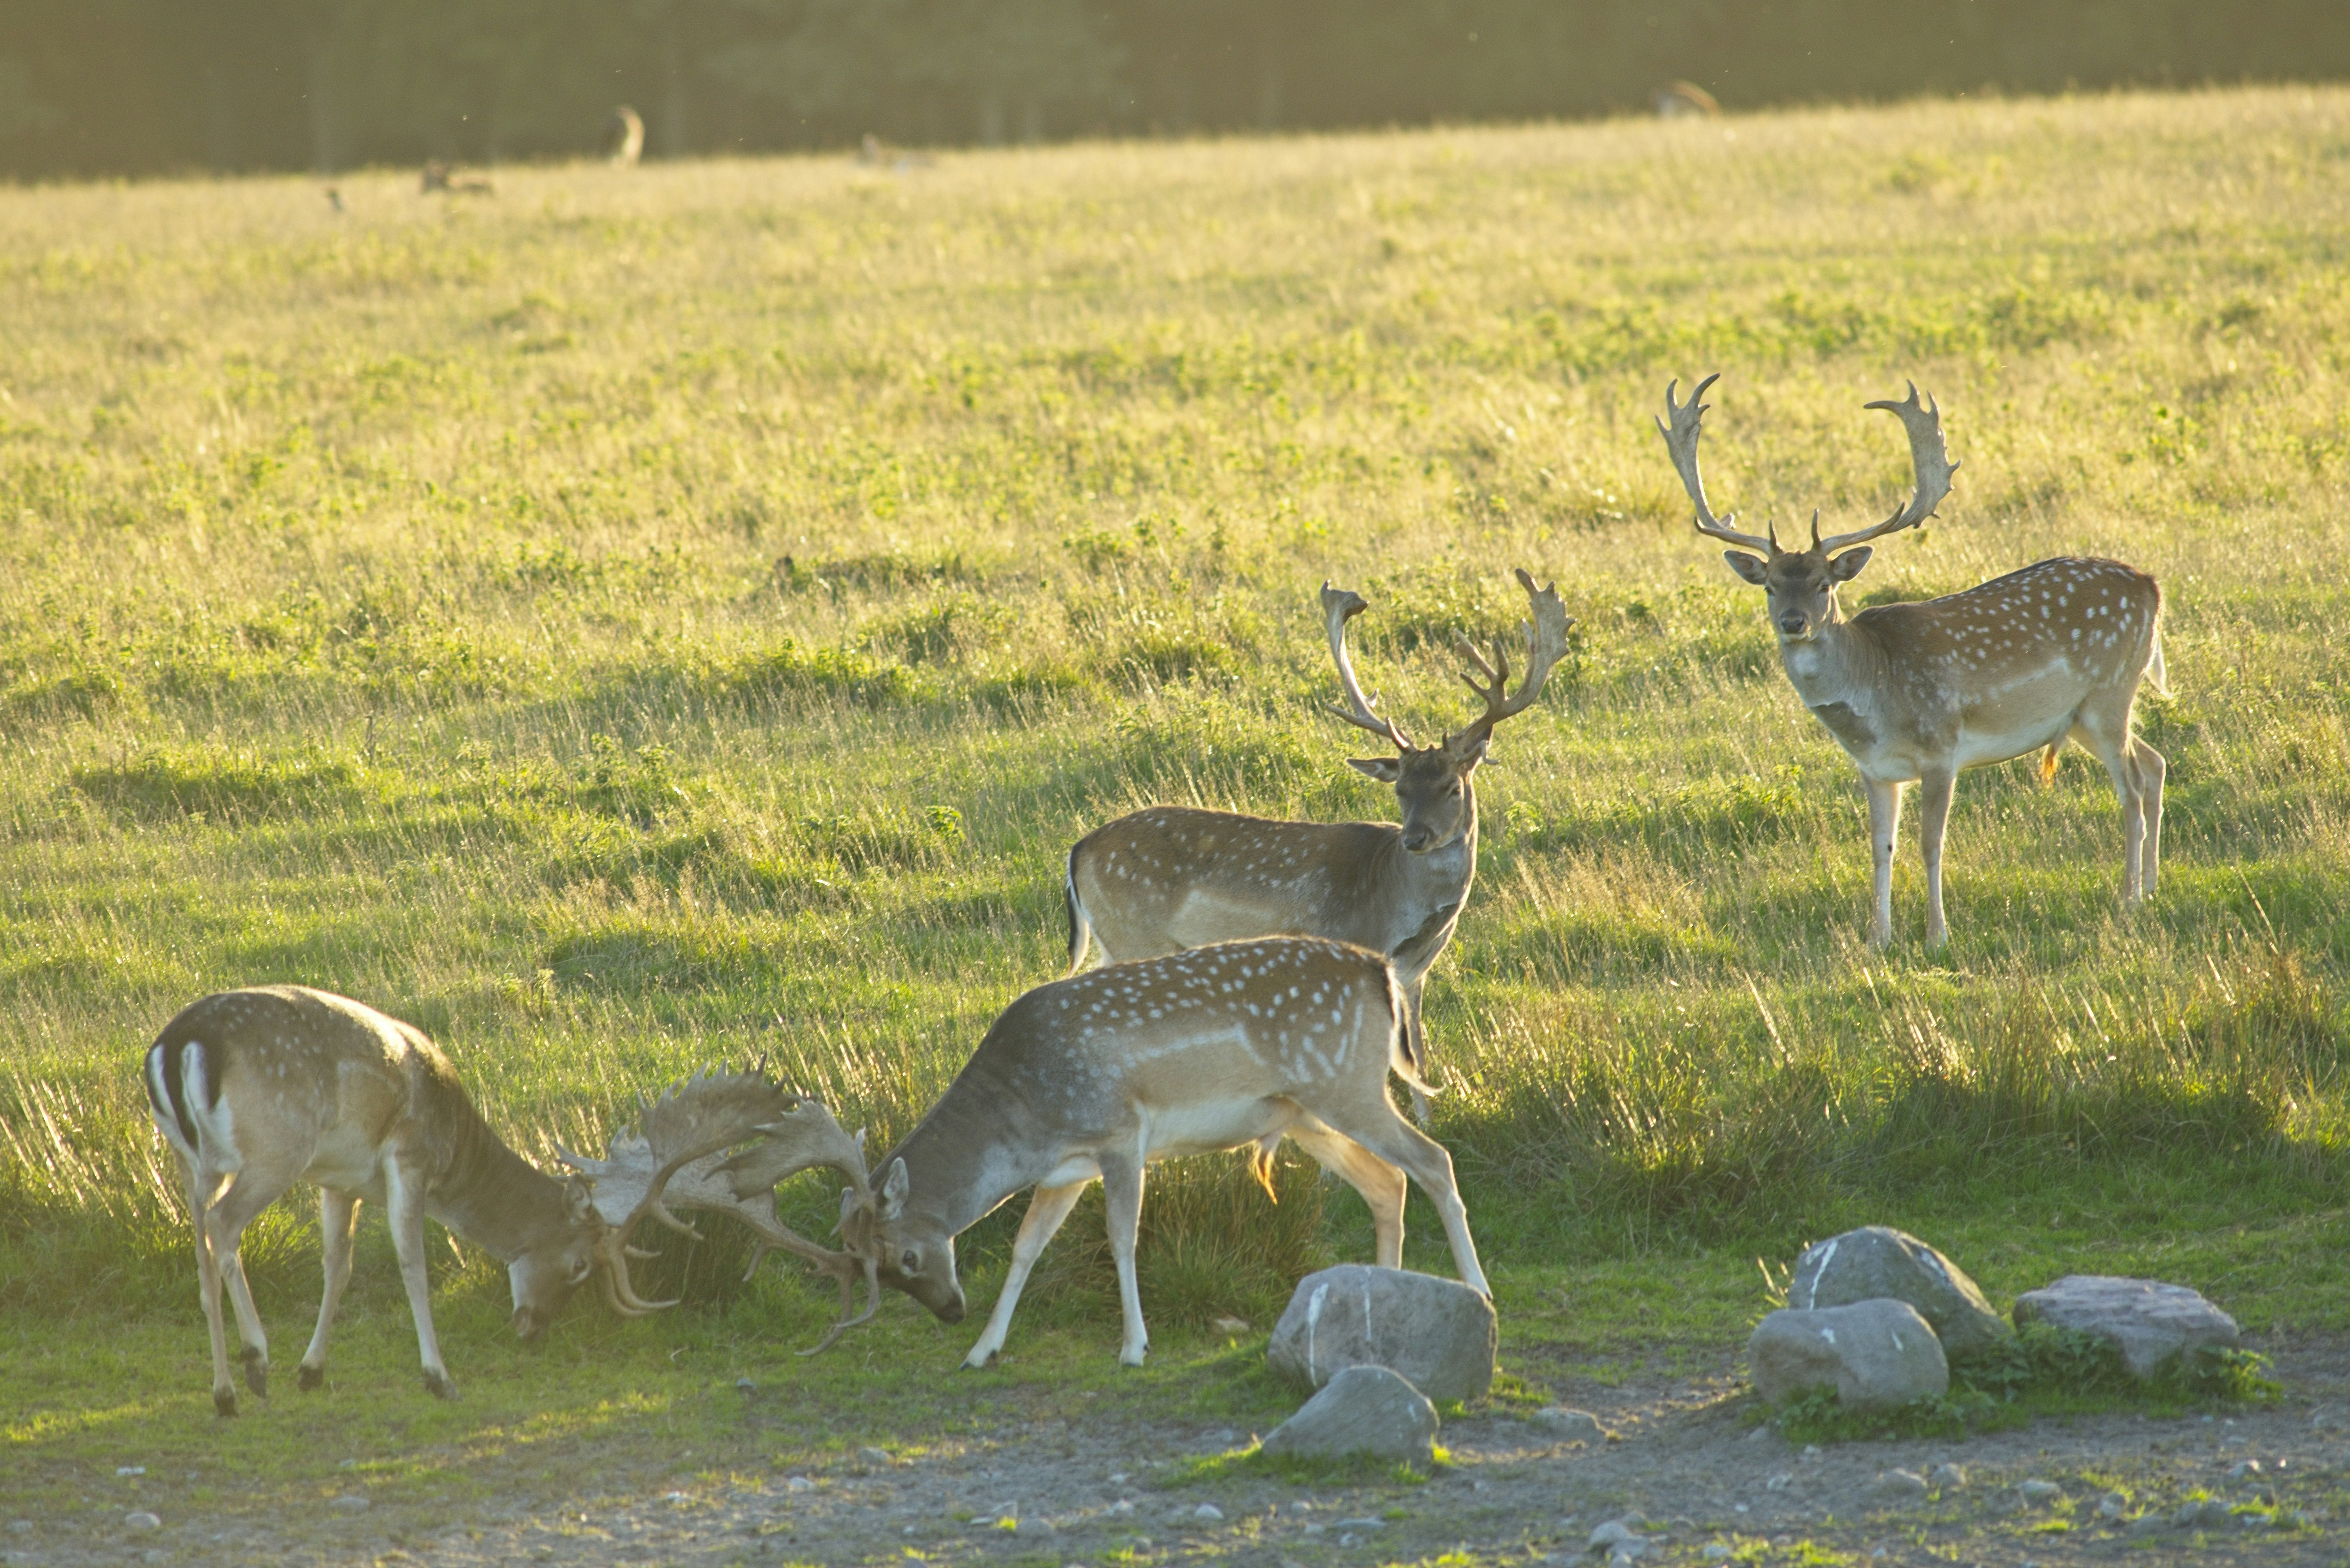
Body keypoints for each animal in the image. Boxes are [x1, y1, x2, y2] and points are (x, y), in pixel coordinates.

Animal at [144, 985, 877, 1415]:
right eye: (580, 1264)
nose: (534, 1327)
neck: (456, 1146)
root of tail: (176, 1046)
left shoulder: (338, 1178)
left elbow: (339, 1266)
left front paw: (314, 1371)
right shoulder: (407, 1155)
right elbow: (413, 1263)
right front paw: (438, 1376)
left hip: (191, 1160)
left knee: (200, 1241)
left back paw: (226, 1390)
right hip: (276, 1144)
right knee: (223, 1226)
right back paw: (255, 1361)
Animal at [1064, 569, 1572, 1114]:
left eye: (1452, 788)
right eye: (1400, 789)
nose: (1415, 838)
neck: (1395, 902)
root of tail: (1078, 850)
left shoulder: (1415, 972)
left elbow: (1417, 1059)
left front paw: (1430, 1119)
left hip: (1116, 942)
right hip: (1133, 935)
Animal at [1656, 373, 2167, 947]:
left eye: (1824, 584)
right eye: (1769, 585)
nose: (1793, 622)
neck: (1876, 697)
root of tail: (2152, 587)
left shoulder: (1941, 748)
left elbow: (1930, 843)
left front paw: (1936, 935)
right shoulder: (1876, 768)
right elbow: (1881, 847)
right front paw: (1878, 937)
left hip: (2110, 691)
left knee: (2130, 788)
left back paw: (2128, 899)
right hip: (2083, 713)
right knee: (2154, 763)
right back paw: (2151, 887)